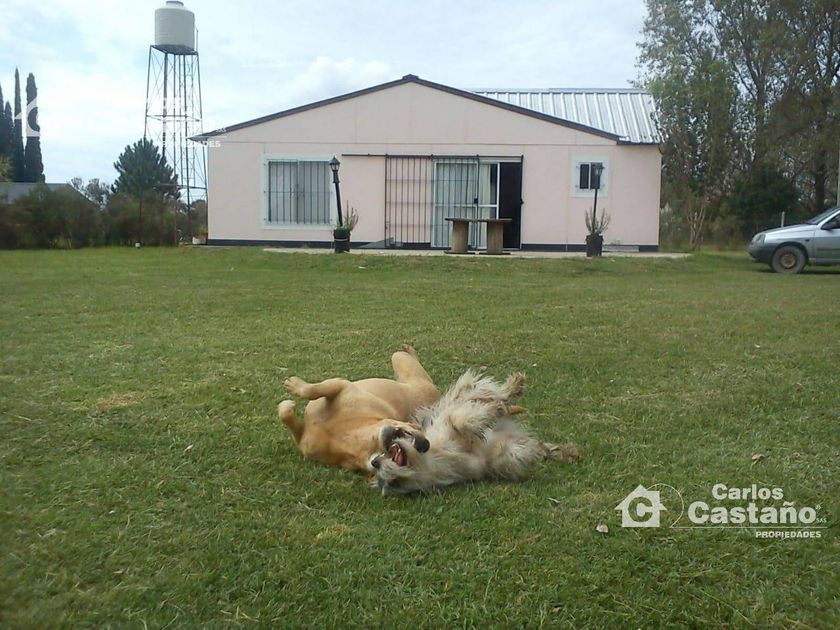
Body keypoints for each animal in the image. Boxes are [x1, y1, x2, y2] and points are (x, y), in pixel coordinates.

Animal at [278, 346, 440, 473]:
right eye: (417, 428)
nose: (424, 445)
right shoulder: (341, 385)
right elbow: (312, 391)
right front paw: (295, 390)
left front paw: (290, 398)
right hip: (399, 362)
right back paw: (409, 350)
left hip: (405, 366)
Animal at [370, 369, 578, 495]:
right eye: (391, 483)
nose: (374, 462)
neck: (438, 455)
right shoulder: (491, 459)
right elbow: (511, 455)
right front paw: (531, 452)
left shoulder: (449, 420)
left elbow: (462, 421)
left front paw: (490, 412)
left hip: (470, 390)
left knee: (491, 393)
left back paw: (511, 389)